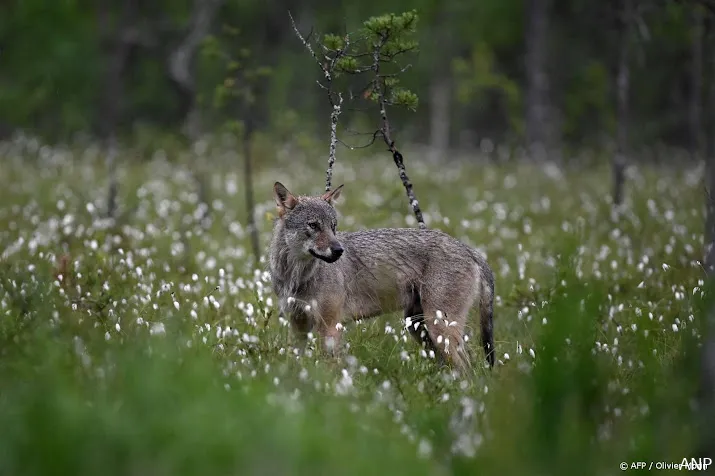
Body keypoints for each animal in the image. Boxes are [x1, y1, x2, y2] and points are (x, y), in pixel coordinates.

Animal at [268, 180, 498, 370]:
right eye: (314, 225)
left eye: (333, 227)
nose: (339, 250)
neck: (296, 275)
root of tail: (469, 249)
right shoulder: (298, 326)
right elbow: (295, 365)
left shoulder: (331, 327)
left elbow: (330, 370)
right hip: (421, 330)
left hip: (439, 330)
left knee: (470, 369)